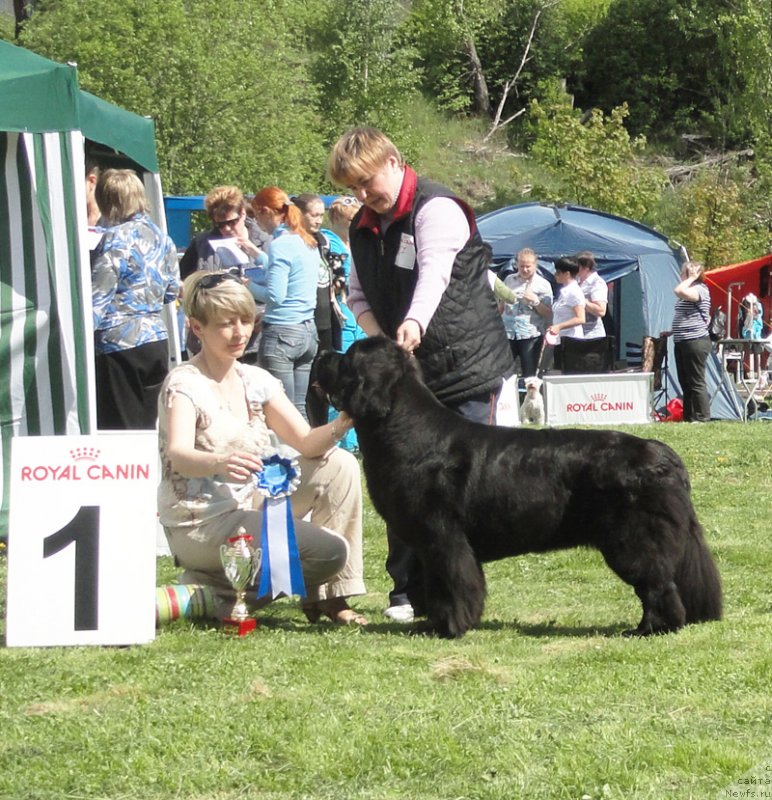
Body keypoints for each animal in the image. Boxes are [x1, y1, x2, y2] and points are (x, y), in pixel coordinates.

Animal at [316, 338, 724, 636]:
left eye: (347, 358)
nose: (321, 353)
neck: (401, 427)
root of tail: (667, 457)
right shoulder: (430, 542)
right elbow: (438, 584)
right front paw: (434, 623)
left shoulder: (443, 536)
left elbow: (453, 583)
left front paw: (449, 628)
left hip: (633, 540)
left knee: (658, 585)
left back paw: (649, 629)